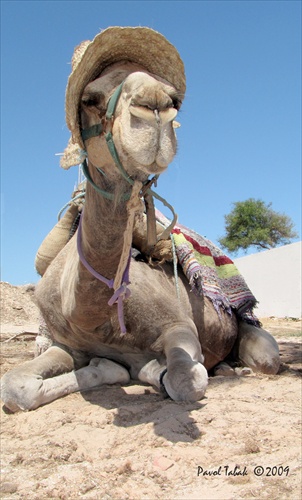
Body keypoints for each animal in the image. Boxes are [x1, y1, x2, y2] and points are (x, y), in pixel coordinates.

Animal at [0, 26, 280, 414]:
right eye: (90, 98)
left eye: (174, 97)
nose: (156, 104)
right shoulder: (65, 344)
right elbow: (15, 387)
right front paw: (111, 367)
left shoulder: (179, 327)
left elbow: (186, 379)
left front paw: (145, 369)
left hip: (250, 333)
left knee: (265, 359)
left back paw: (231, 368)